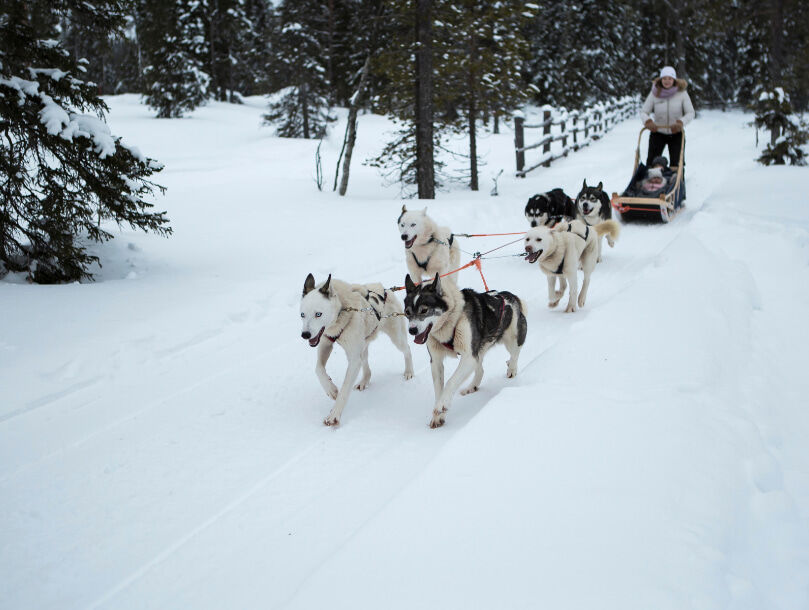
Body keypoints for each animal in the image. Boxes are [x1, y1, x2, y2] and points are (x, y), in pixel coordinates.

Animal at [300, 270, 414, 422]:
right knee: (365, 364)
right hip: (362, 345)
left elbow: (344, 390)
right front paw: (331, 389)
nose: (305, 334)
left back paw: (409, 371)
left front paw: (334, 414)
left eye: (318, 314)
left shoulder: (353, 360)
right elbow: (318, 368)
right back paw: (364, 380)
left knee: (407, 349)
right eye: (302, 315)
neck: (342, 311)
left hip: (396, 337)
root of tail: (386, 290)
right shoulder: (325, 343)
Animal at [402, 274, 528, 426]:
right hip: (479, 352)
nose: (412, 330)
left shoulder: (468, 356)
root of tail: (509, 296)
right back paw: (472, 387)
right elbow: (439, 389)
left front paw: (442, 404)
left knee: (515, 353)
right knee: (480, 370)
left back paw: (512, 369)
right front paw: (438, 414)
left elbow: (451, 382)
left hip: (512, 339)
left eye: (424, 310)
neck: (450, 321)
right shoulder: (436, 361)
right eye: (407, 312)